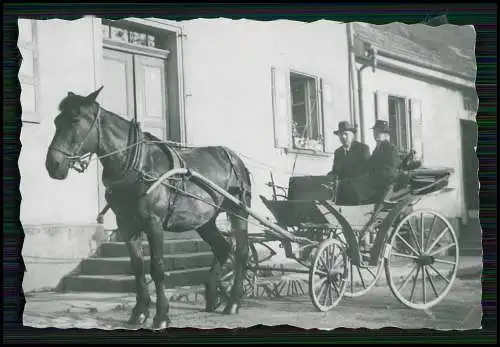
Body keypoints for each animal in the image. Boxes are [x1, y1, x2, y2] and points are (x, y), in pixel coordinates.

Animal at [45, 86, 252, 328]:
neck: (139, 166)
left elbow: (157, 268)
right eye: (56, 120)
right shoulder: (126, 225)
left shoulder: (154, 223)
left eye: (75, 119)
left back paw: (233, 302)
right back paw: (212, 296)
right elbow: (137, 267)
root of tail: (233, 157)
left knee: (241, 252)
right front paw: (139, 312)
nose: (53, 164)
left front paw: (161, 315)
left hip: (239, 211)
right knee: (222, 248)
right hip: (204, 220)